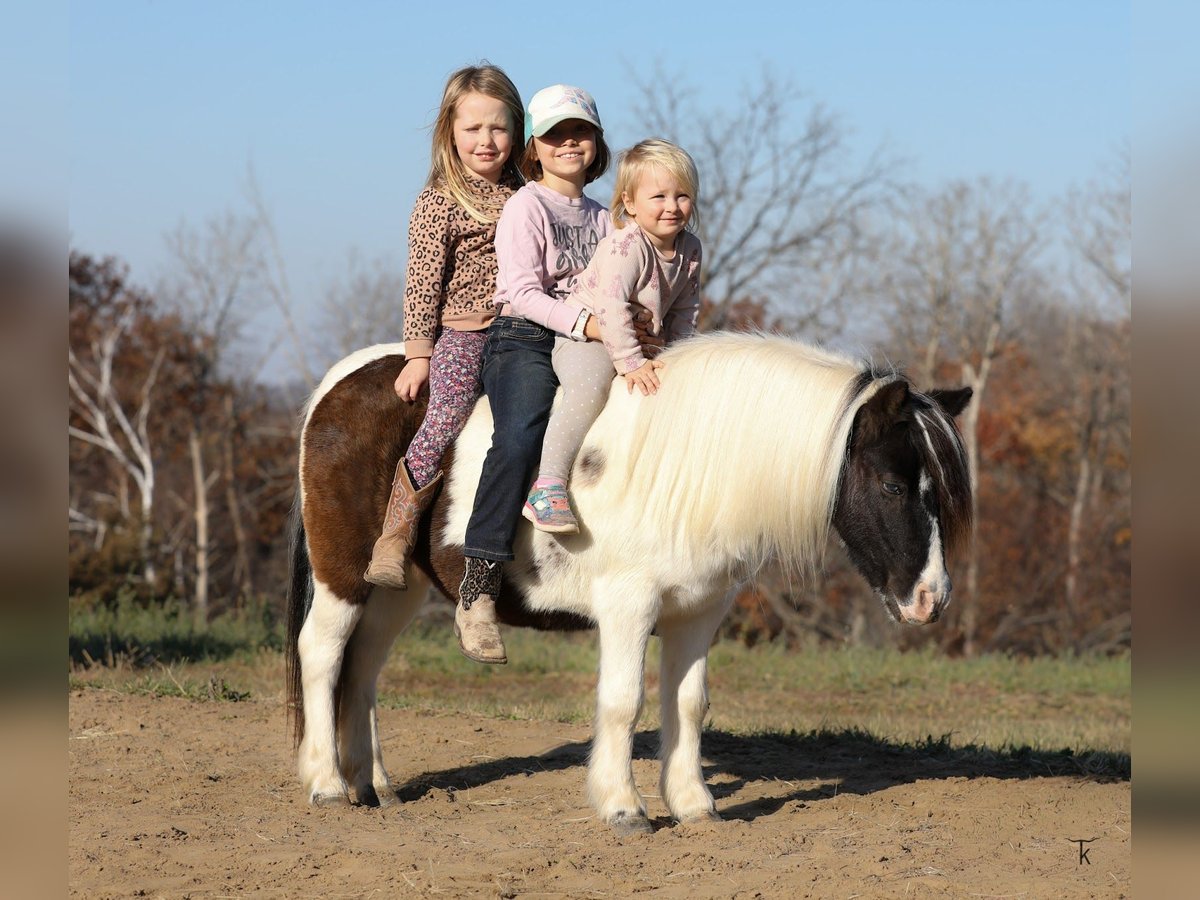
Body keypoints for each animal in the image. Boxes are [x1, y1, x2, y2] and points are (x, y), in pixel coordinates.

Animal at [284, 330, 973, 834]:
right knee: (322, 653)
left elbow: (689, 704)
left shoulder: (698, 611)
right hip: (343, 572)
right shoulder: (628, 605)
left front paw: (695, 806)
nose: (932, 599)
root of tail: (338, 384)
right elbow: (623, 701)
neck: (694, 462)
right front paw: (623, 807)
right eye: (893, 486)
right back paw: (326, 785)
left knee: (362, 668)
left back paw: (373, 785)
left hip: (396, 585)